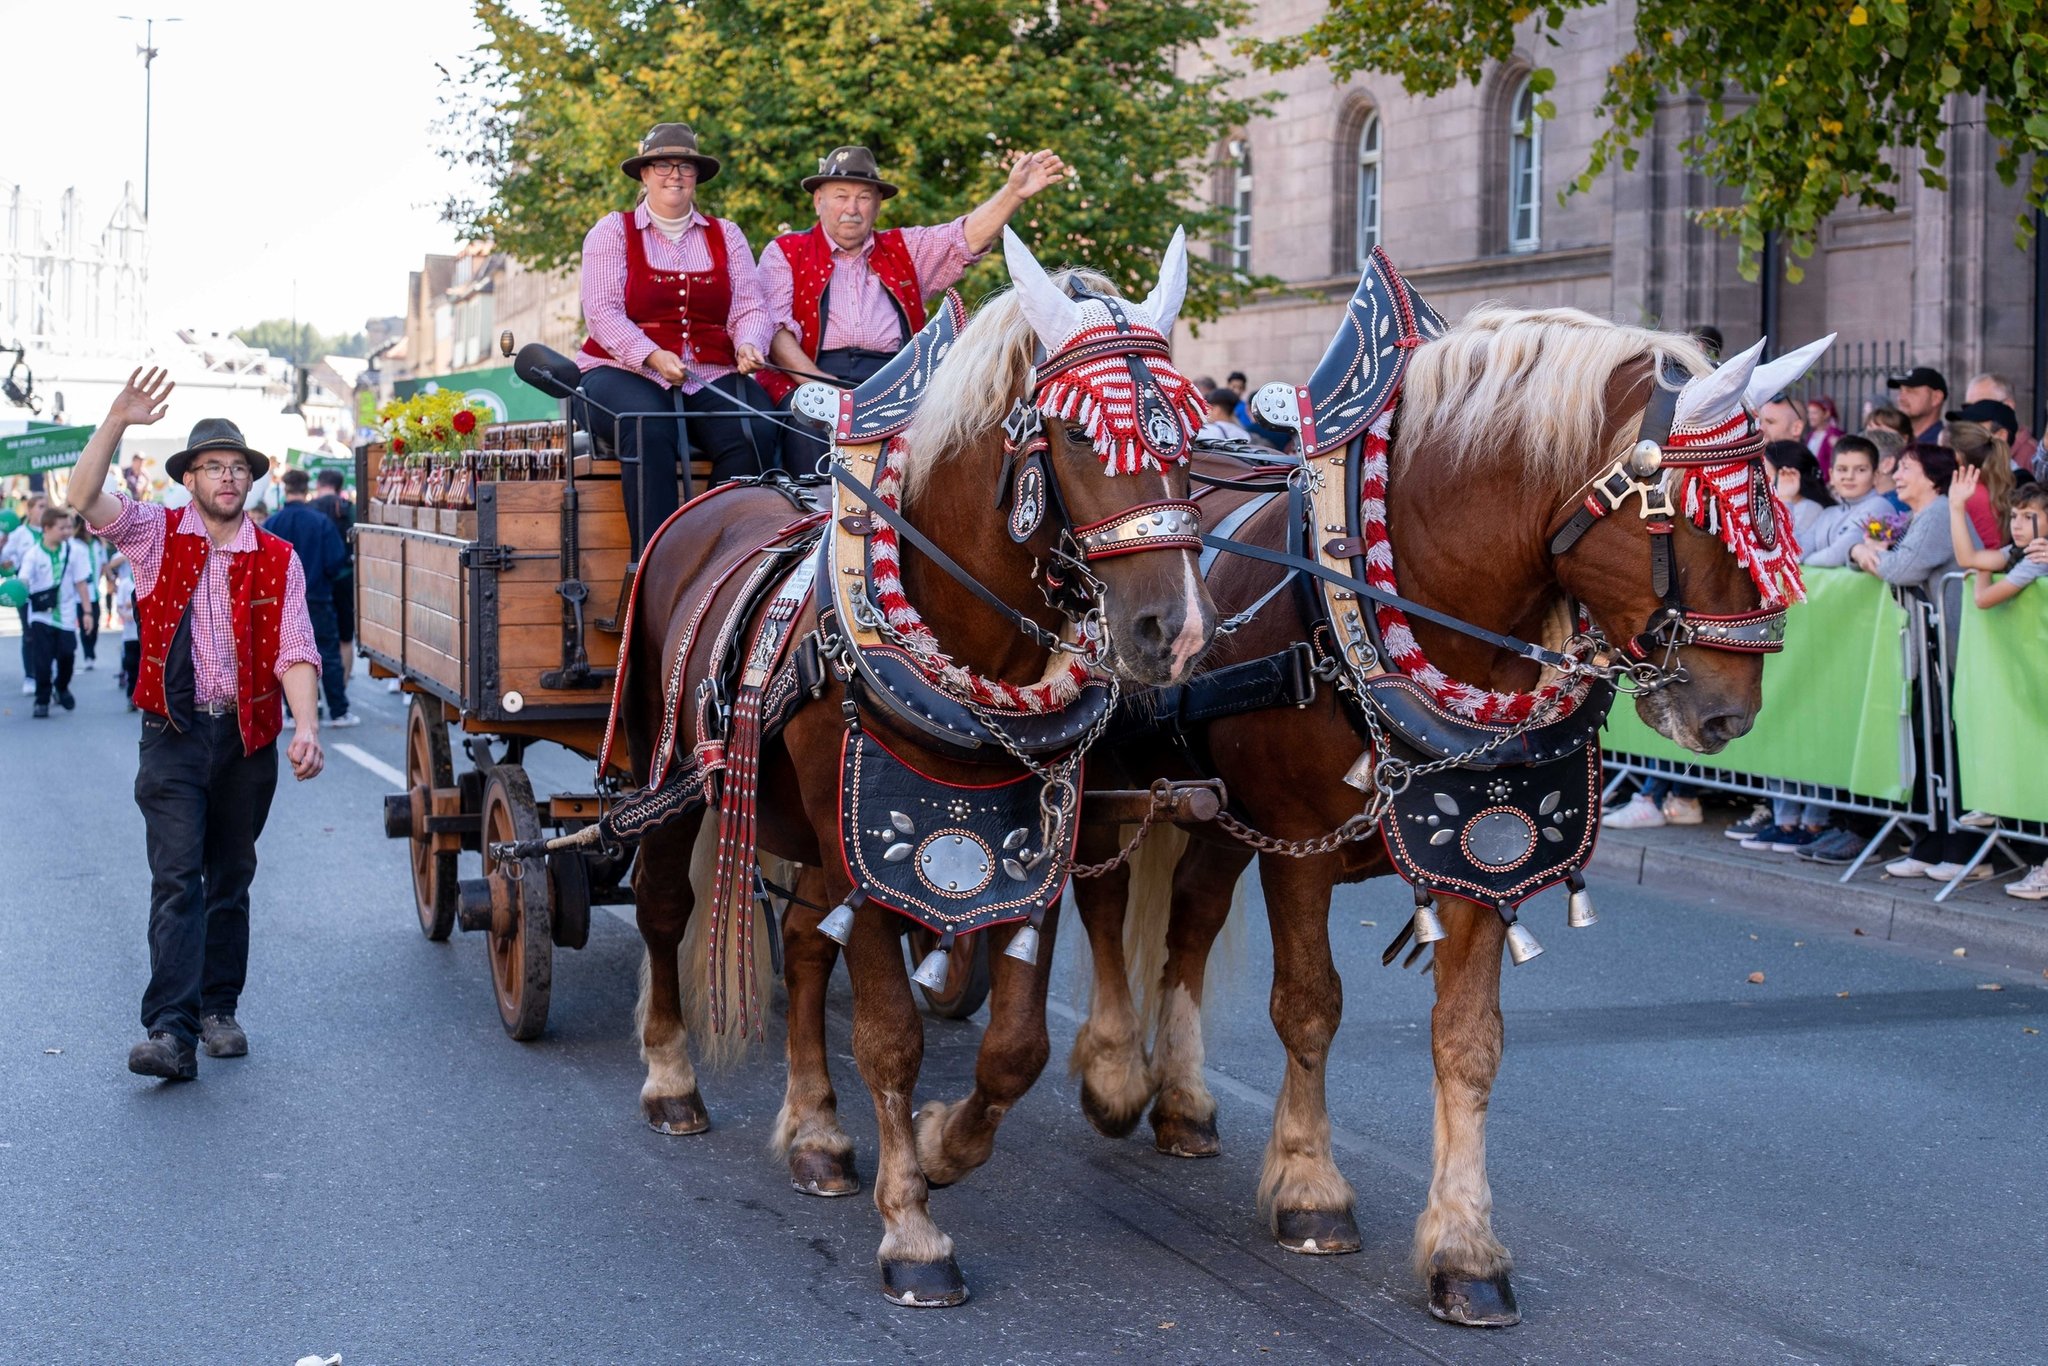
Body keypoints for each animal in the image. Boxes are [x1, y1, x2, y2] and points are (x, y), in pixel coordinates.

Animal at [606, 229, 1212, 1310]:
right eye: (1077, 437)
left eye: (1191, 437)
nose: (1173, 632)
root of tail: (710, 502)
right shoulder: (874, 854)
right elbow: (892, 1034)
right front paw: (913, 1229)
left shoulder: (1022, 848)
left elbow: (1015, 1048)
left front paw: (935, 1148)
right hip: (675, 770)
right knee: (665, 907)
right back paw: (672, 1079)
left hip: (816, 831)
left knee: (803, 948)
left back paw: (816, 1130)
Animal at [1064, 272, 1835, 1327]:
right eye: (1702, 515)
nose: (1731, 713)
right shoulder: (1300, 845)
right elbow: (1307, 1006)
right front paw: (1310, 1189)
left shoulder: (1475, 850)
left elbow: (1470, 1045)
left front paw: (1465, 1248)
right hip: (1114, 783)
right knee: (1103, 905)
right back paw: (1109, 1073)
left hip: (1217, 812)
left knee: (1188, 922)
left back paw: (1179, 1098)